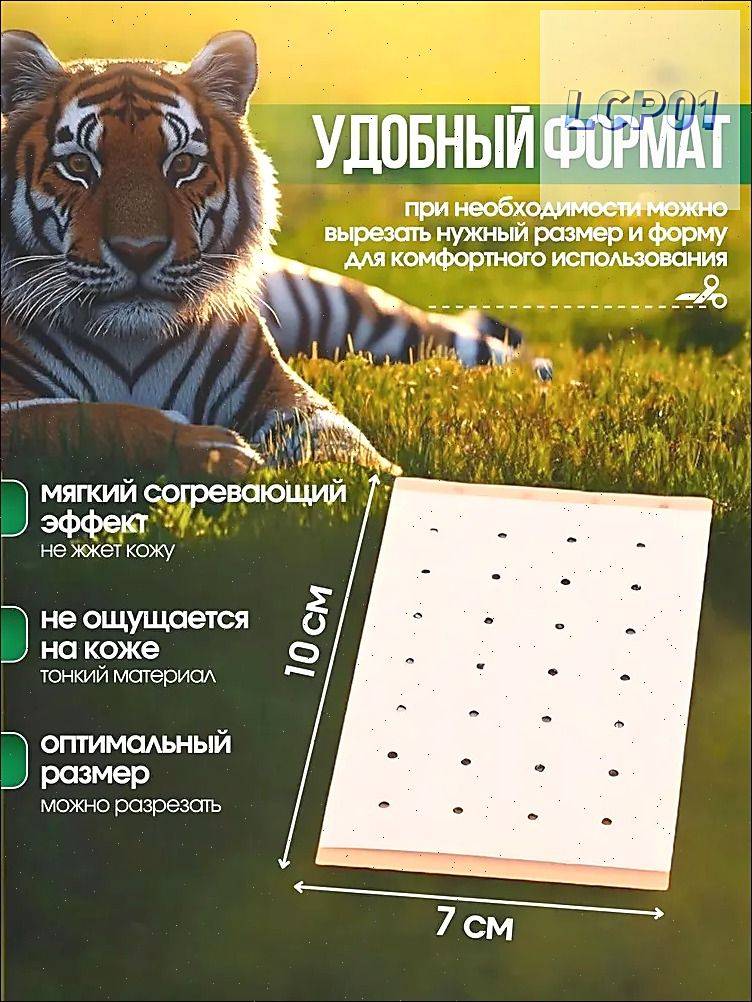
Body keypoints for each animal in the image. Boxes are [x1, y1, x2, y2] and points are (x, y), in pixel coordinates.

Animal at [0, 29, 545, 479]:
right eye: (78, 166)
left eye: (182, 164)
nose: (140, 252)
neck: (130, 342)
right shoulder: (16, 408)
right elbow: (88, 419)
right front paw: (221, 454)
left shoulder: (275, 388)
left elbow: (339, 439)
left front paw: (370, 481)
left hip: (349, 312)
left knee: (458, 339)